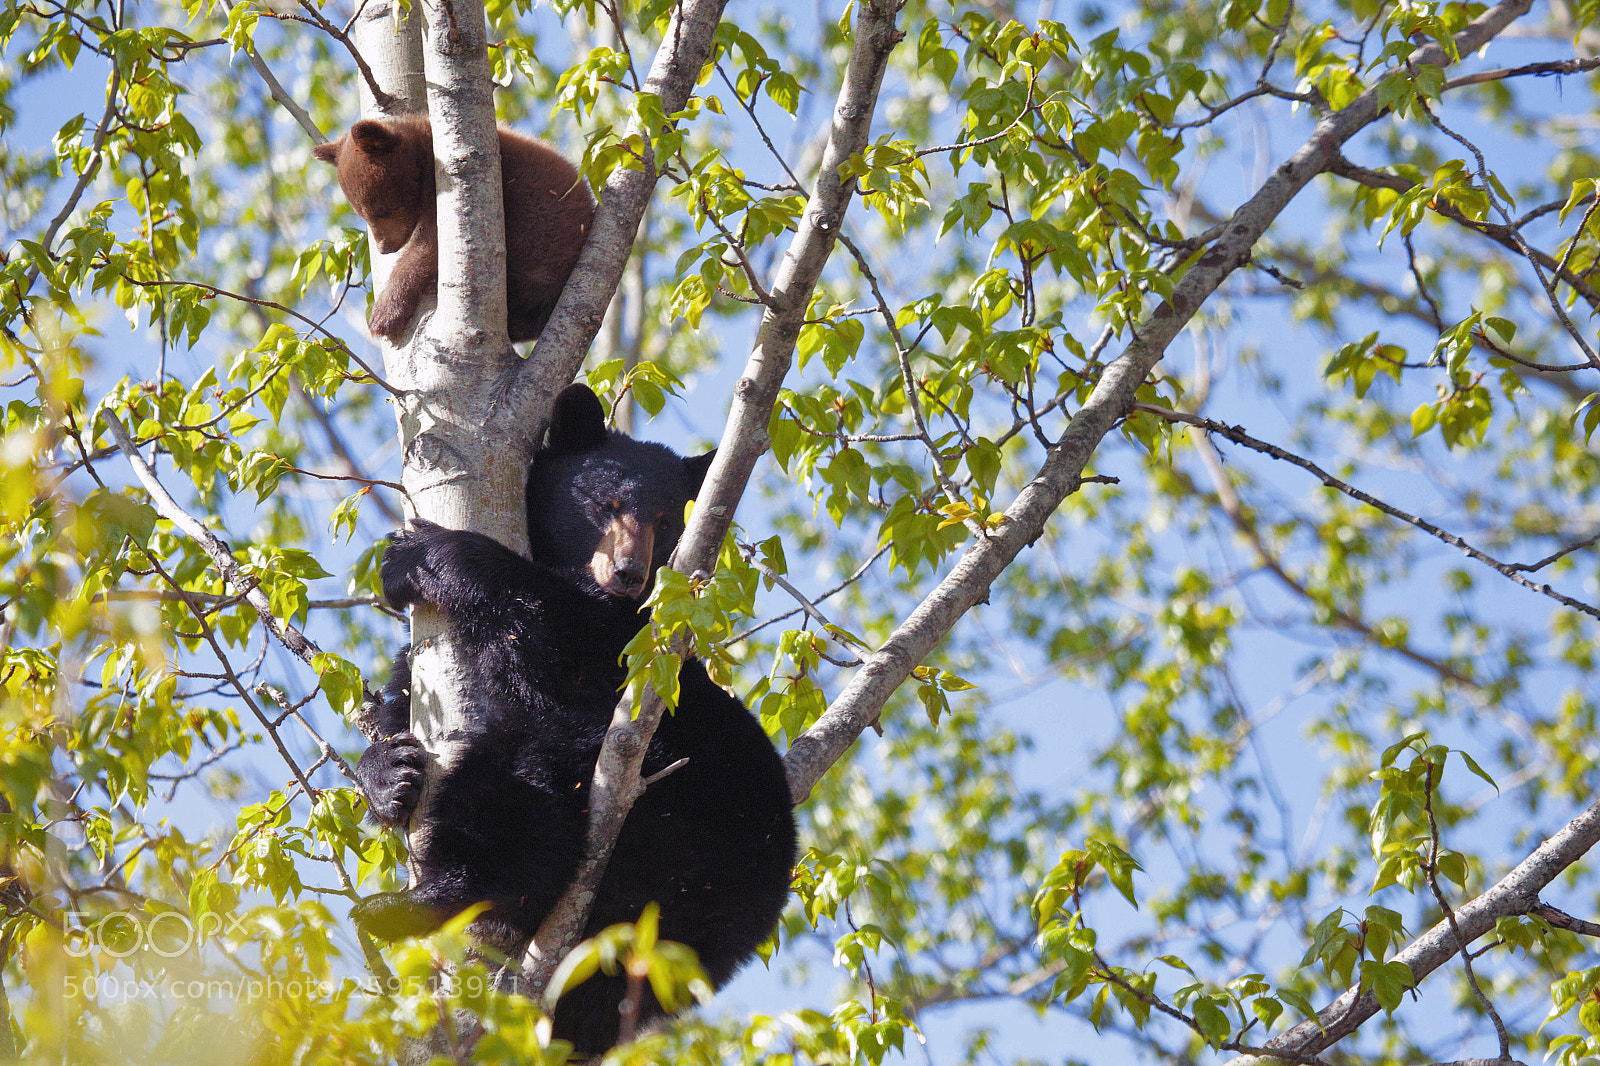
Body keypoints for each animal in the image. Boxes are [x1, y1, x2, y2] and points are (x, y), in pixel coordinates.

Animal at [312, 115, 594, 342]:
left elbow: (430, 246)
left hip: (539, 239)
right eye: (360, 213)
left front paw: (385, 314)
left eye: (379, 209)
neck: (427, 159)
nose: (383, 248)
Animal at [352, 384, 797, 1055]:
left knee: (527, 788)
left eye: (666, 520)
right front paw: (387, 773)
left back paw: (425, 898)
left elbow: (557, 627)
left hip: (677, 801)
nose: (629, 573)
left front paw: (424, 554)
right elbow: (400, 695)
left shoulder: (638, 644)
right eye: (604, 504)